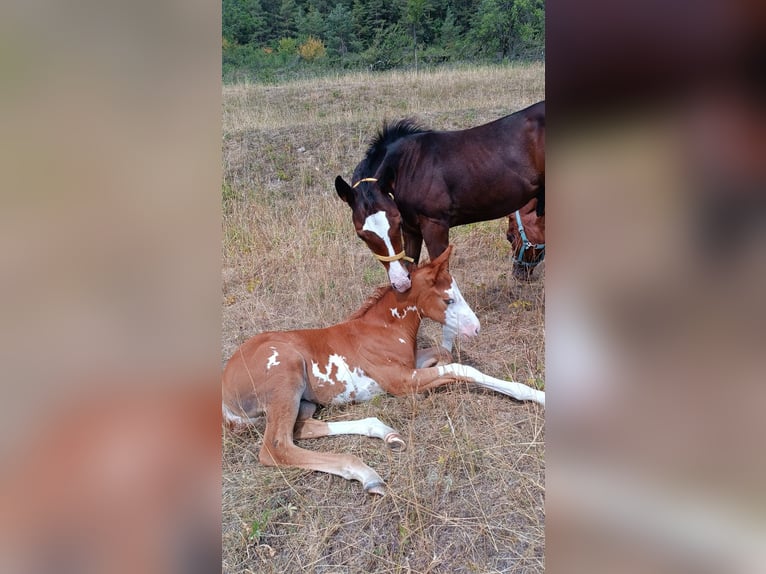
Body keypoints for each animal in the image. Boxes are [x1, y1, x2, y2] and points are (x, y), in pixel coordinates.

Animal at [221, 246, 545, 496]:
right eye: (448, 299)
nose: (475, 329)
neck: (383, 329)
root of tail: (225, 394)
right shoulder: (399, 381)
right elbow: (460, 366)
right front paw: (535, 395)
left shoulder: (409, 365)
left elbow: (443, 354)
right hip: (285, 374)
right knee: (276, 446)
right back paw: (365, 473)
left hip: (304, 400)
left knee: (302, 428)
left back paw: (384, 433)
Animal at [336, 101, 545, 292]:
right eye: (361, 235)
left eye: (395, 223)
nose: (400, 282)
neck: (407, 166)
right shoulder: (411, 230)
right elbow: (411, 267)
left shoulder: (434, 226)